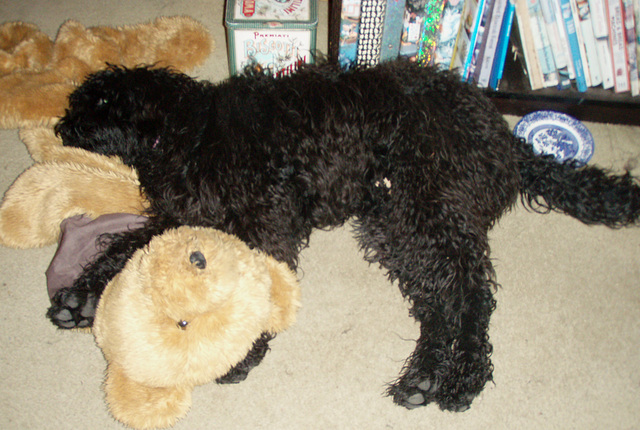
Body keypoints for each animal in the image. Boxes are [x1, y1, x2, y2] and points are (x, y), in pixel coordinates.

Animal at [48, 61, 640, 414]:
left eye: (92, 106)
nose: (57, 126)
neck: (189, 130)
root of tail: (504, 134)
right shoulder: (183, 216)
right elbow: (122, 248)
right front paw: (79, 298)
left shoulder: (268, 218)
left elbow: (259, 285)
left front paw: (243, 356)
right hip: (398, 223)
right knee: (441, 303)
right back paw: (424, 376)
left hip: (425, 210)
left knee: (472, 296)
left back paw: (462, 377)